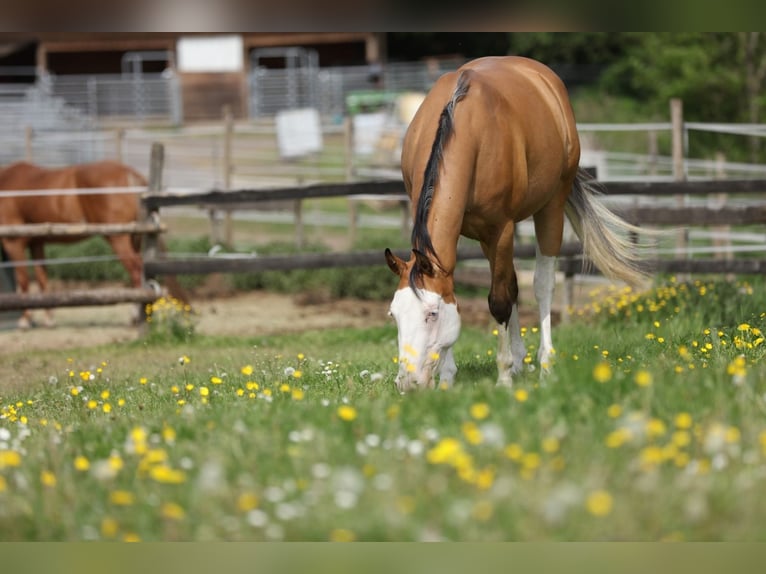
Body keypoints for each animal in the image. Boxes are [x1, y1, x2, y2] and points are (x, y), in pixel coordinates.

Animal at [0, 160, 150, 329]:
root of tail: (128, 173)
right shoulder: (37, 243)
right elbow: (42, 279)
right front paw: (49, 319)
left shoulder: (14, 243)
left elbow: (23, 281)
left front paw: (25, 320)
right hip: (133, 239)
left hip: (118, 238)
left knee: (136, 271)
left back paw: (136, 316)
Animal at [384, 56, 647, 391]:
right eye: (394, 314)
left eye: (432, 314)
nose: (408, 382)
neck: (466, 128)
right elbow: (470, 292)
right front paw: (448, 377)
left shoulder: (502, 229)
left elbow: (499, 301)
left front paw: (504, 377)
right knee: (512, 284)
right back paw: (522, 360)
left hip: (550, 208)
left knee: (541, 285)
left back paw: (545, 365)